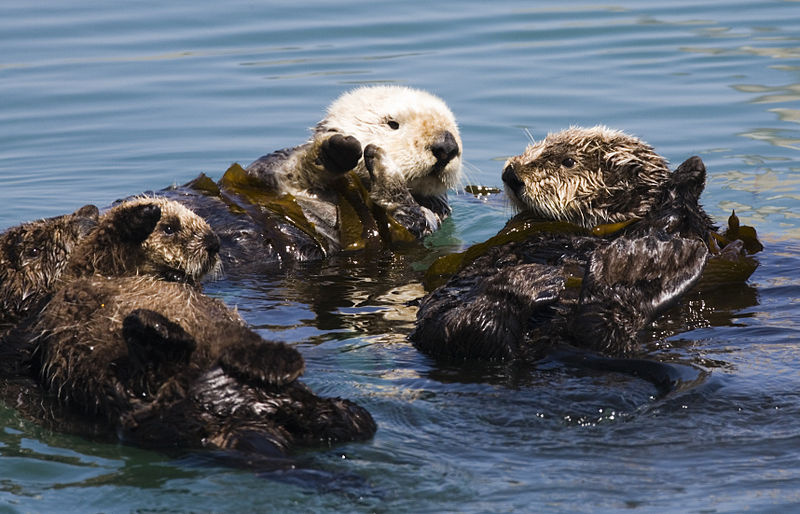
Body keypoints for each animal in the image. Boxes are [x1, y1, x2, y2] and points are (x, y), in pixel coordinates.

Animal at [156, 85, 462, 264]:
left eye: (454, 127)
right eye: (393, 123)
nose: (446, 146)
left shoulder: (429, 218)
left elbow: (406, 219)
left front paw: (385, 168)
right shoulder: (266, 172)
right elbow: (287, 167)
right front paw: (335, 150)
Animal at [412, 125, 764, 372]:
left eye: (568, 162)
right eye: (535, 147)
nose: (511, 174)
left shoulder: (694, 227)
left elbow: (681, 214)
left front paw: (690, 171)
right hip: (438, 329)